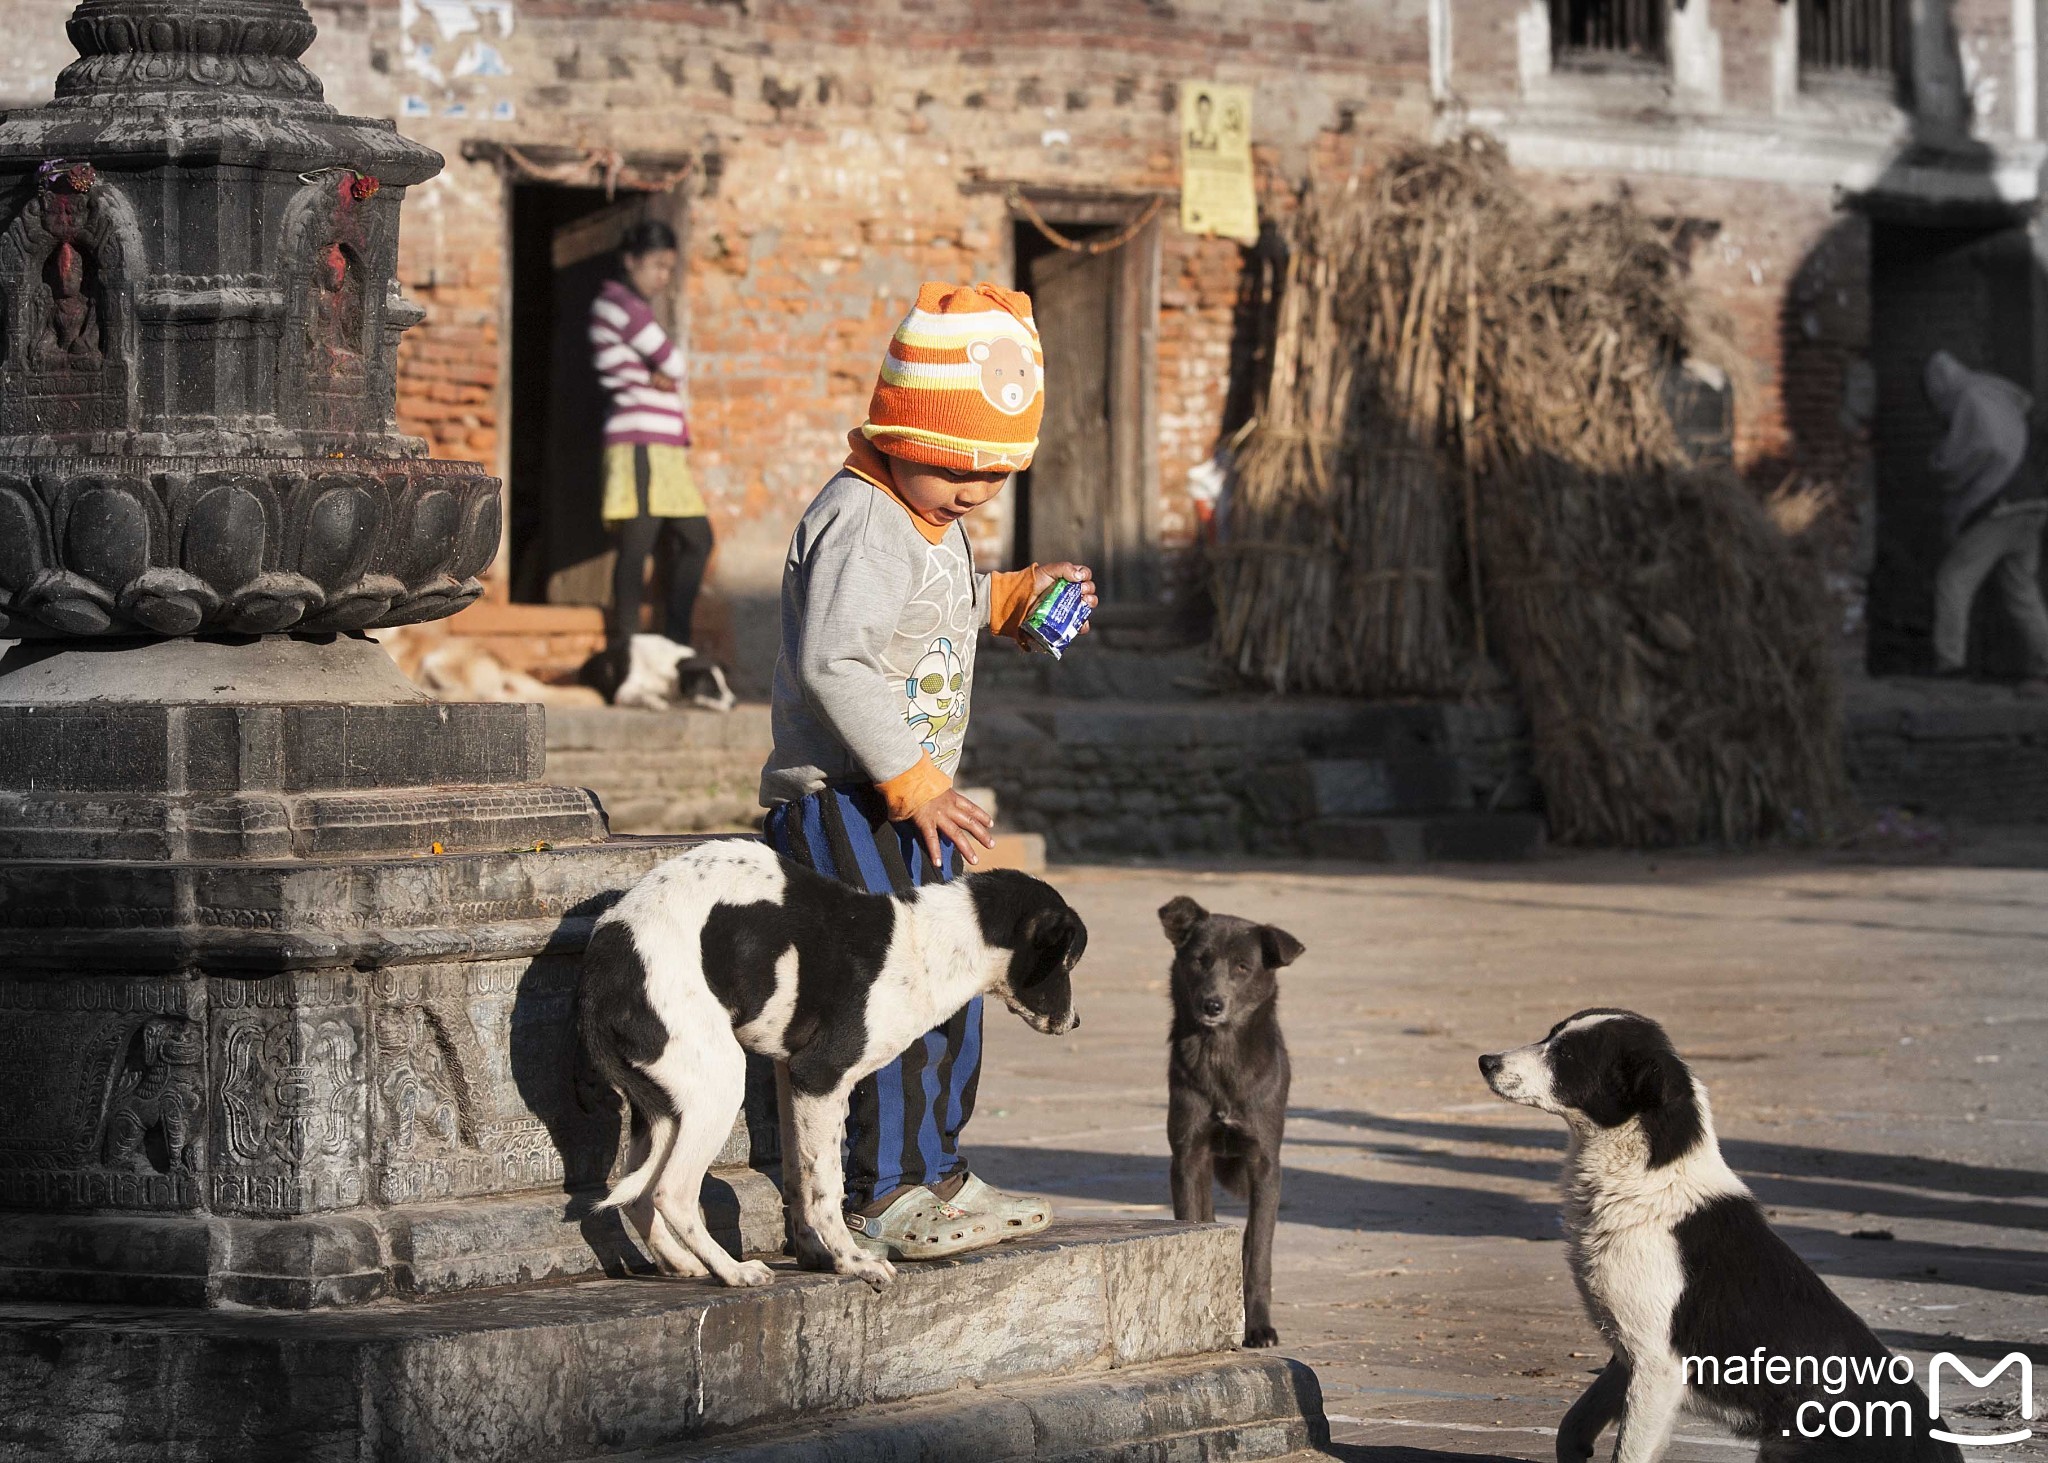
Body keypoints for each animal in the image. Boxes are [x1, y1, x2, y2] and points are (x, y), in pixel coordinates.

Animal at [577, 836, 1089, 1278]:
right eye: (1066, 962)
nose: (1076, 1022)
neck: (927, 944)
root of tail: (603, 963)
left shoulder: (792, 1077)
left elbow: (800, 1182)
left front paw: (816, 1255)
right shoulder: (819, 1076)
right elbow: (827, 1189)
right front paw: (854, 1261)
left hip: (665, 1102)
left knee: (637, 1194)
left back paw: (682, 1263)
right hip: (717, 1085)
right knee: (672, 1193)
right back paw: (732, 1272)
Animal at [1163, 893, 1302, 1352]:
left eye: (1243, 967)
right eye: (1200, 960)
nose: (1212, 1004)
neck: (1220, 1055)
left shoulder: (1265, 1163)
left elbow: (1258, 1251)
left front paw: (1258, 1327)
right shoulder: (1188, 1156)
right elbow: (1194, 1226)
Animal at [1482, 1004, 1957, 1458]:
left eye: (1566, 1056)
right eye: (1550, 1035)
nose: (1485, 1061)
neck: (1647, 1180)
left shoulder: (1657, 1364)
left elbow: (1628, 1453)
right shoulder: (1628, 1355)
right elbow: (1573, 1425)